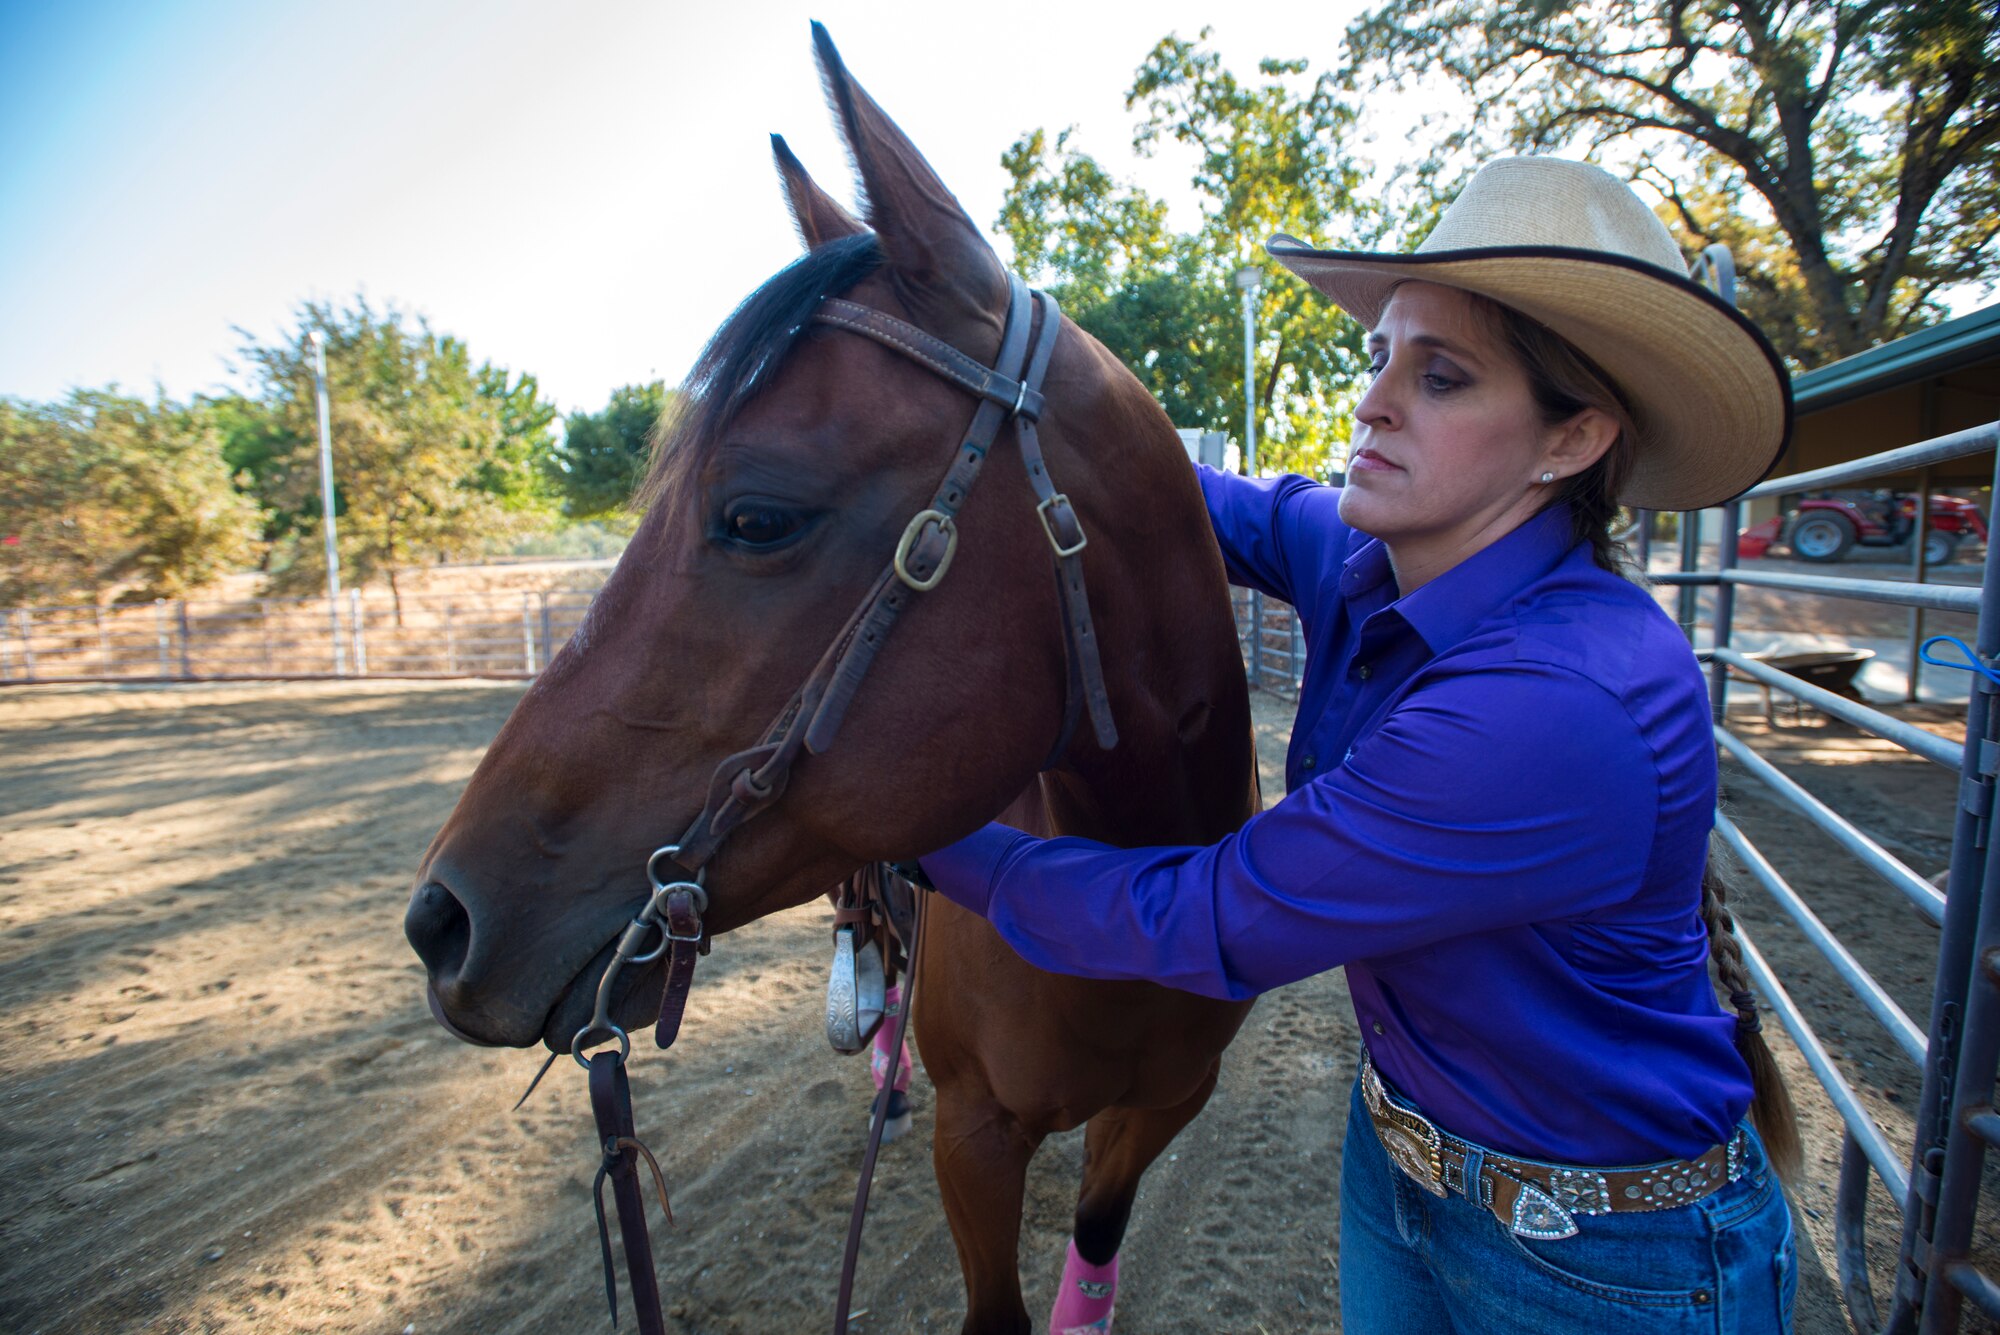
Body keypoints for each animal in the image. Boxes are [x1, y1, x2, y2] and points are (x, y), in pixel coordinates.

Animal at [400, 26, 1256, 1327]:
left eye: (756, 516)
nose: (439, 922)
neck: (1131, 899)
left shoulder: (1161, 1107)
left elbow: (1094, 1255)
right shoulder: (977, 1135)